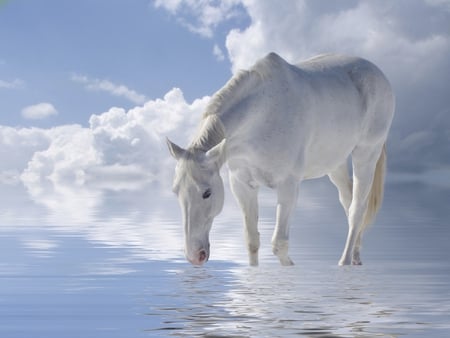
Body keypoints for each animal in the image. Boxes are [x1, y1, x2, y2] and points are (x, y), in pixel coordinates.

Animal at [166, 52, 394, 266]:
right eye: (176, 192)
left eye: (207, 193)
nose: (195, 256)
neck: (261, 114)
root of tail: (377, 72)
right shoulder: (242, 185)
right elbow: (252, 240)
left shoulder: (288, 186)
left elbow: (279, 245)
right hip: (335, 164)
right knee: (348, 201)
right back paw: (355, 257)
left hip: (366, 154)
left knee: (357, 208)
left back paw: (344, 262)